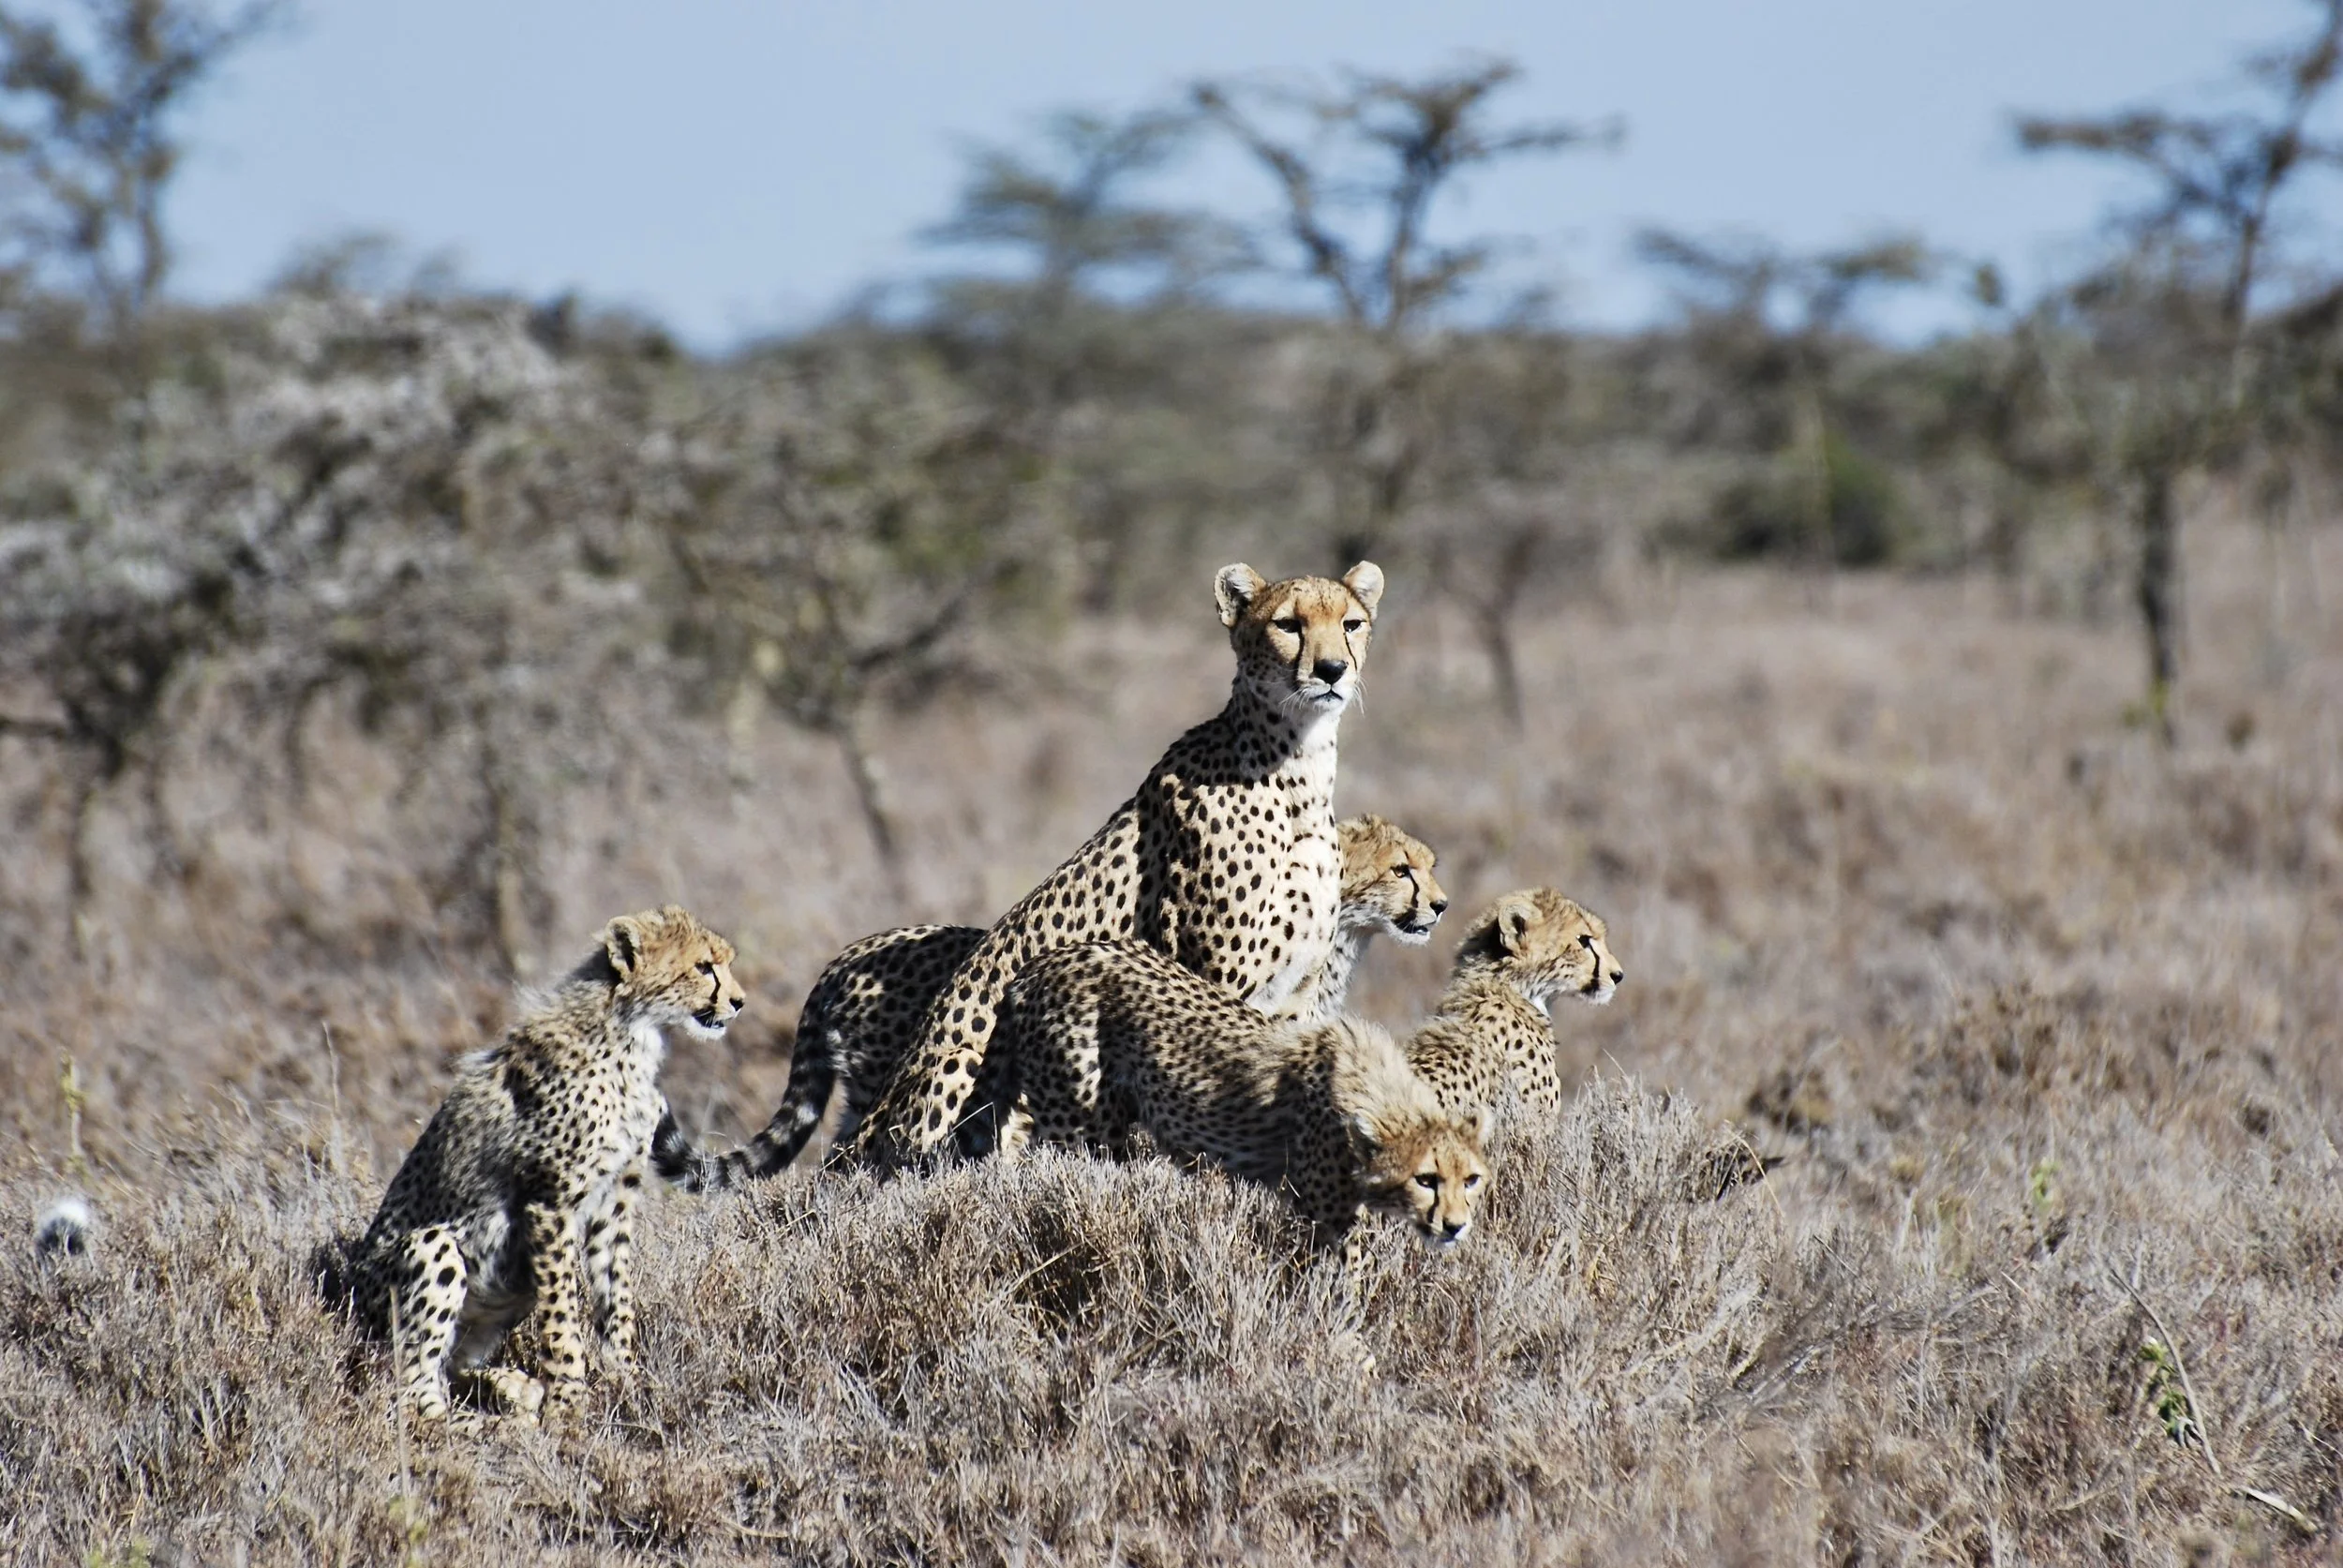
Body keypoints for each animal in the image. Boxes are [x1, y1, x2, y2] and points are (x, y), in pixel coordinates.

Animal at [345, 904, 746, 1425]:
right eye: (703, 966)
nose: (739, 1002)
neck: (631, 1034)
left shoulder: (613, 1203)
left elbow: (616, 1295)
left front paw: (628, 1381)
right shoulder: (550, 1205)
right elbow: (562, 1314)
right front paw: (570, 1403)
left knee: (453, 1366)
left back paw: (513, 1388)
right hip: (429, 1254)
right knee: (412, 1387)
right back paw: (479, 1424)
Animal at [848, 558, 1388, 1167]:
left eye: (1350, 623)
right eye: (1289, 624)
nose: (1332, 670)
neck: (1298, 771)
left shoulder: (1296, 996)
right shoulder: (1216, 980)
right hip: (964, 1067)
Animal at [996, 938, 1489, 1261]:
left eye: (1470, 1180)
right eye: (1426, 1179)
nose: (1456, 1225)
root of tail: (1037, 965)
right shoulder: (1325, 1219)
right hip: (1075, 1125)